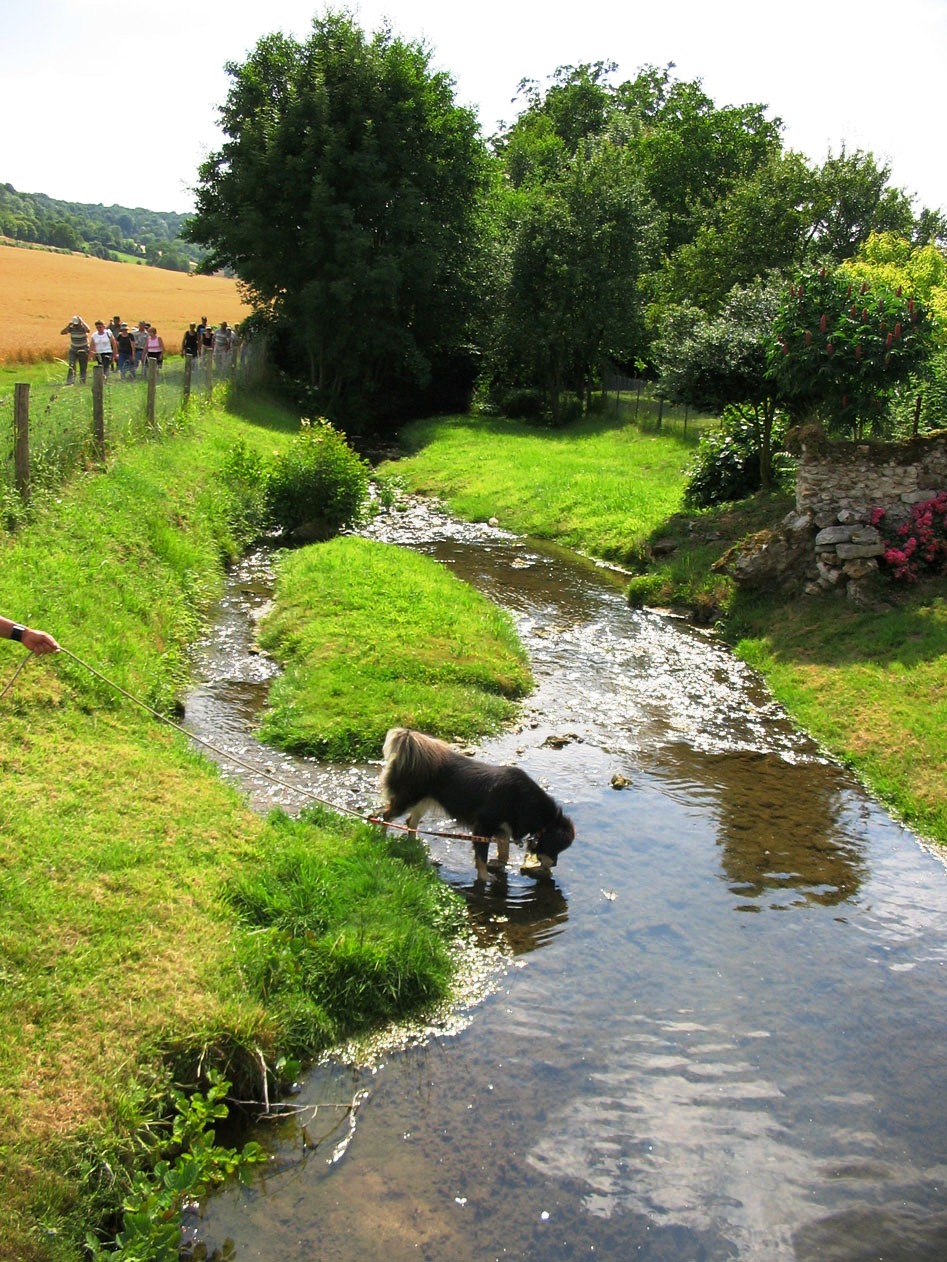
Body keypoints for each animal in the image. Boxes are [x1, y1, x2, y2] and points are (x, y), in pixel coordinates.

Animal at [381, 726, 578, 883]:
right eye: (556, 848)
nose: (554, 864)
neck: (523, 802)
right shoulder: (482, 828)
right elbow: (481, 856)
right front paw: (484, 877)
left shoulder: (502, 830)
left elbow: (504, 852)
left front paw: (498, 864)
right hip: (407, 799)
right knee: (385, 815)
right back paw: (381, 836)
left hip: (423, 802)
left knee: (410, 822)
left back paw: (413, 845)